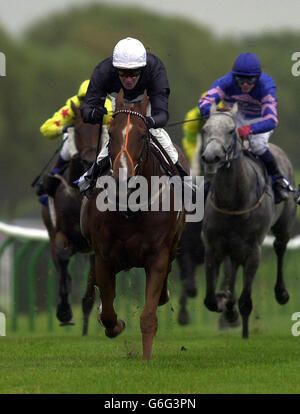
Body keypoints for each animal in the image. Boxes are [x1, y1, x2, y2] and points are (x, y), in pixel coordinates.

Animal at [79, 90, 188, 360]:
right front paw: (113, 323)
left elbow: (148, 316)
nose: (123, 177)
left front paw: (146, 358)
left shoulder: (158, 256)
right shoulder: (104, 256)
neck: (131, 207)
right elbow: (108, 313)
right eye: (111, 133)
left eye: (141, 134)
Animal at [200, 102, 296, 338]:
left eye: (231, 131)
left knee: (280, 248)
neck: (233, 202)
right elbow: (210, 300)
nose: (211, 158)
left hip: (284, 226)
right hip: (233, 247)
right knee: (234, 267)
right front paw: (227, 306)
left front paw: (242, 329)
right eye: (205, 129)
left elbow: (246, 300)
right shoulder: (212, 246)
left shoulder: (253, 249)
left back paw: (281, 293)